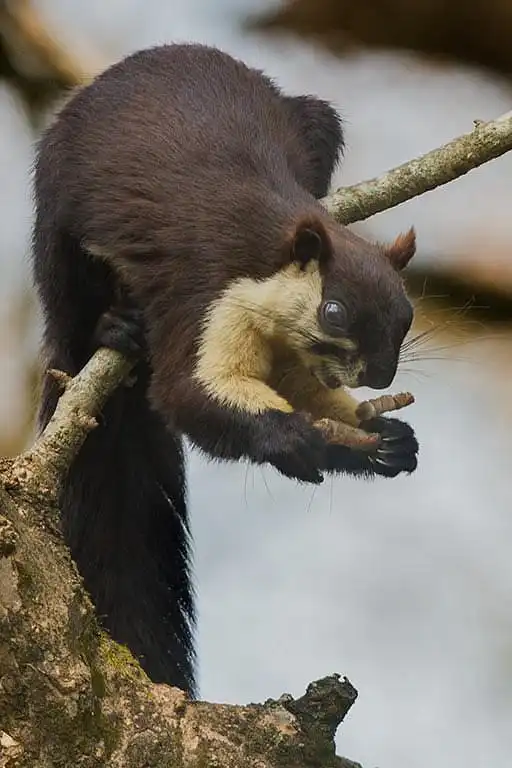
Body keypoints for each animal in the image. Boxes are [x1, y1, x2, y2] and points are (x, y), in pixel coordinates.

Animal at [31, 42, 419, 696]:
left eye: (408, 314)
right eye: (335, 310)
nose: (381, 379)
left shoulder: (289, 356)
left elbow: (298, 390)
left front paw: (381, 440)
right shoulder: (208, 297)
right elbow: (190, 393)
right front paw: (299, 441)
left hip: (319, 121)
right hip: (57, 215)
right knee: (70, 302)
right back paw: (113, 328)